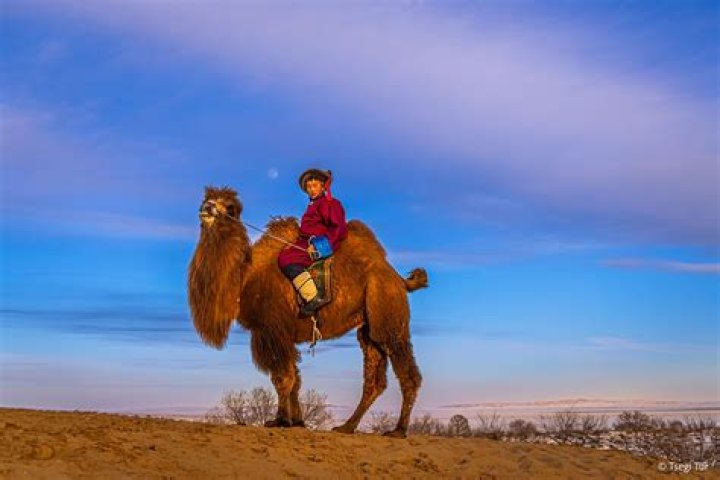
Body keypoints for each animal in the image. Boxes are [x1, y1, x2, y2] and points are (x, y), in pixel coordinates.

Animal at [187, 186, 428, 437]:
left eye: (231, 208)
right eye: (206, 199)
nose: (207, 208)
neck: (246, 279)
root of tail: (399, 279)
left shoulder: (272, 330)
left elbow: (283, 378)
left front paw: (280, 420)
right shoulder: (281, 335)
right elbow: (295, 379)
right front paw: (298, 421)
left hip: (388, 312)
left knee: (408, 373)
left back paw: (398, 430)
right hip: (369, 328)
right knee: (375, 380)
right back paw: (346, 427)